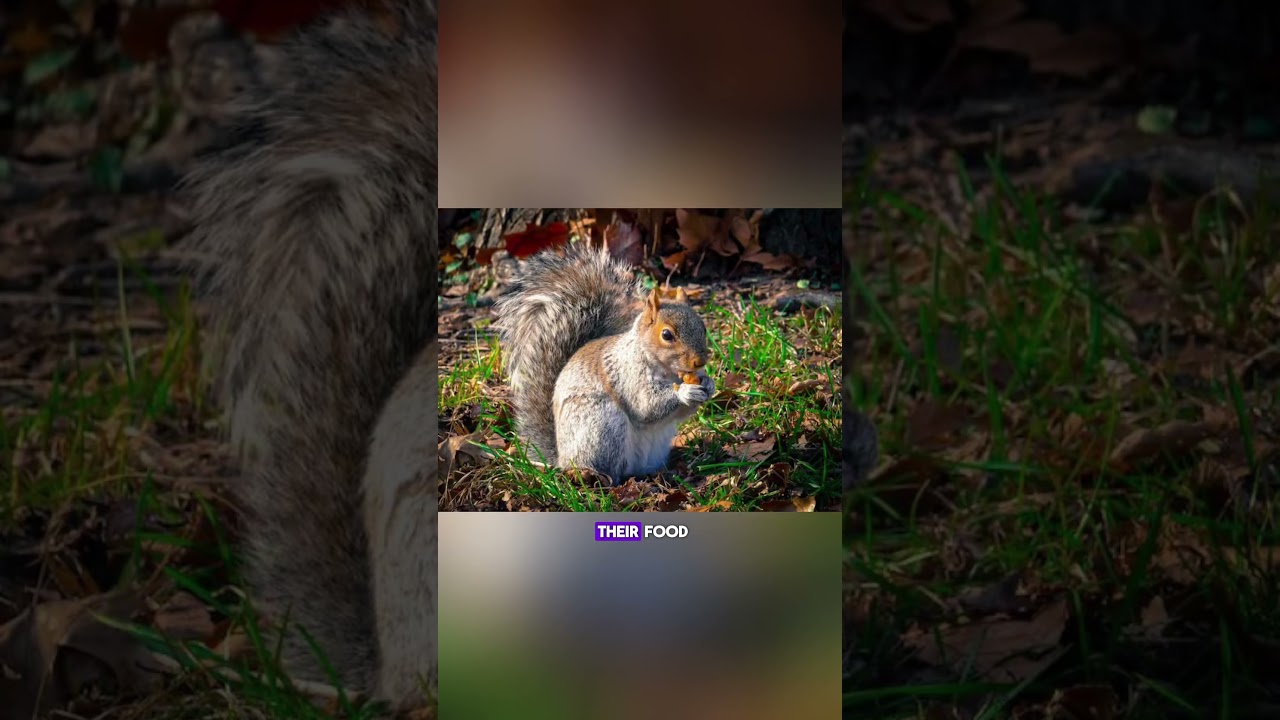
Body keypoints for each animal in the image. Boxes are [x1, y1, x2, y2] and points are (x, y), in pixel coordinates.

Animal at [494, 243, 716, 483]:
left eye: (703, 327)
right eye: (666, 335)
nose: (700, 361)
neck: (668, 372)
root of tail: (562, 459)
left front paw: (709, 383)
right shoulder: (627, 374)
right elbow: (646, 405)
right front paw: (685, 392)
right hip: (602, 425)